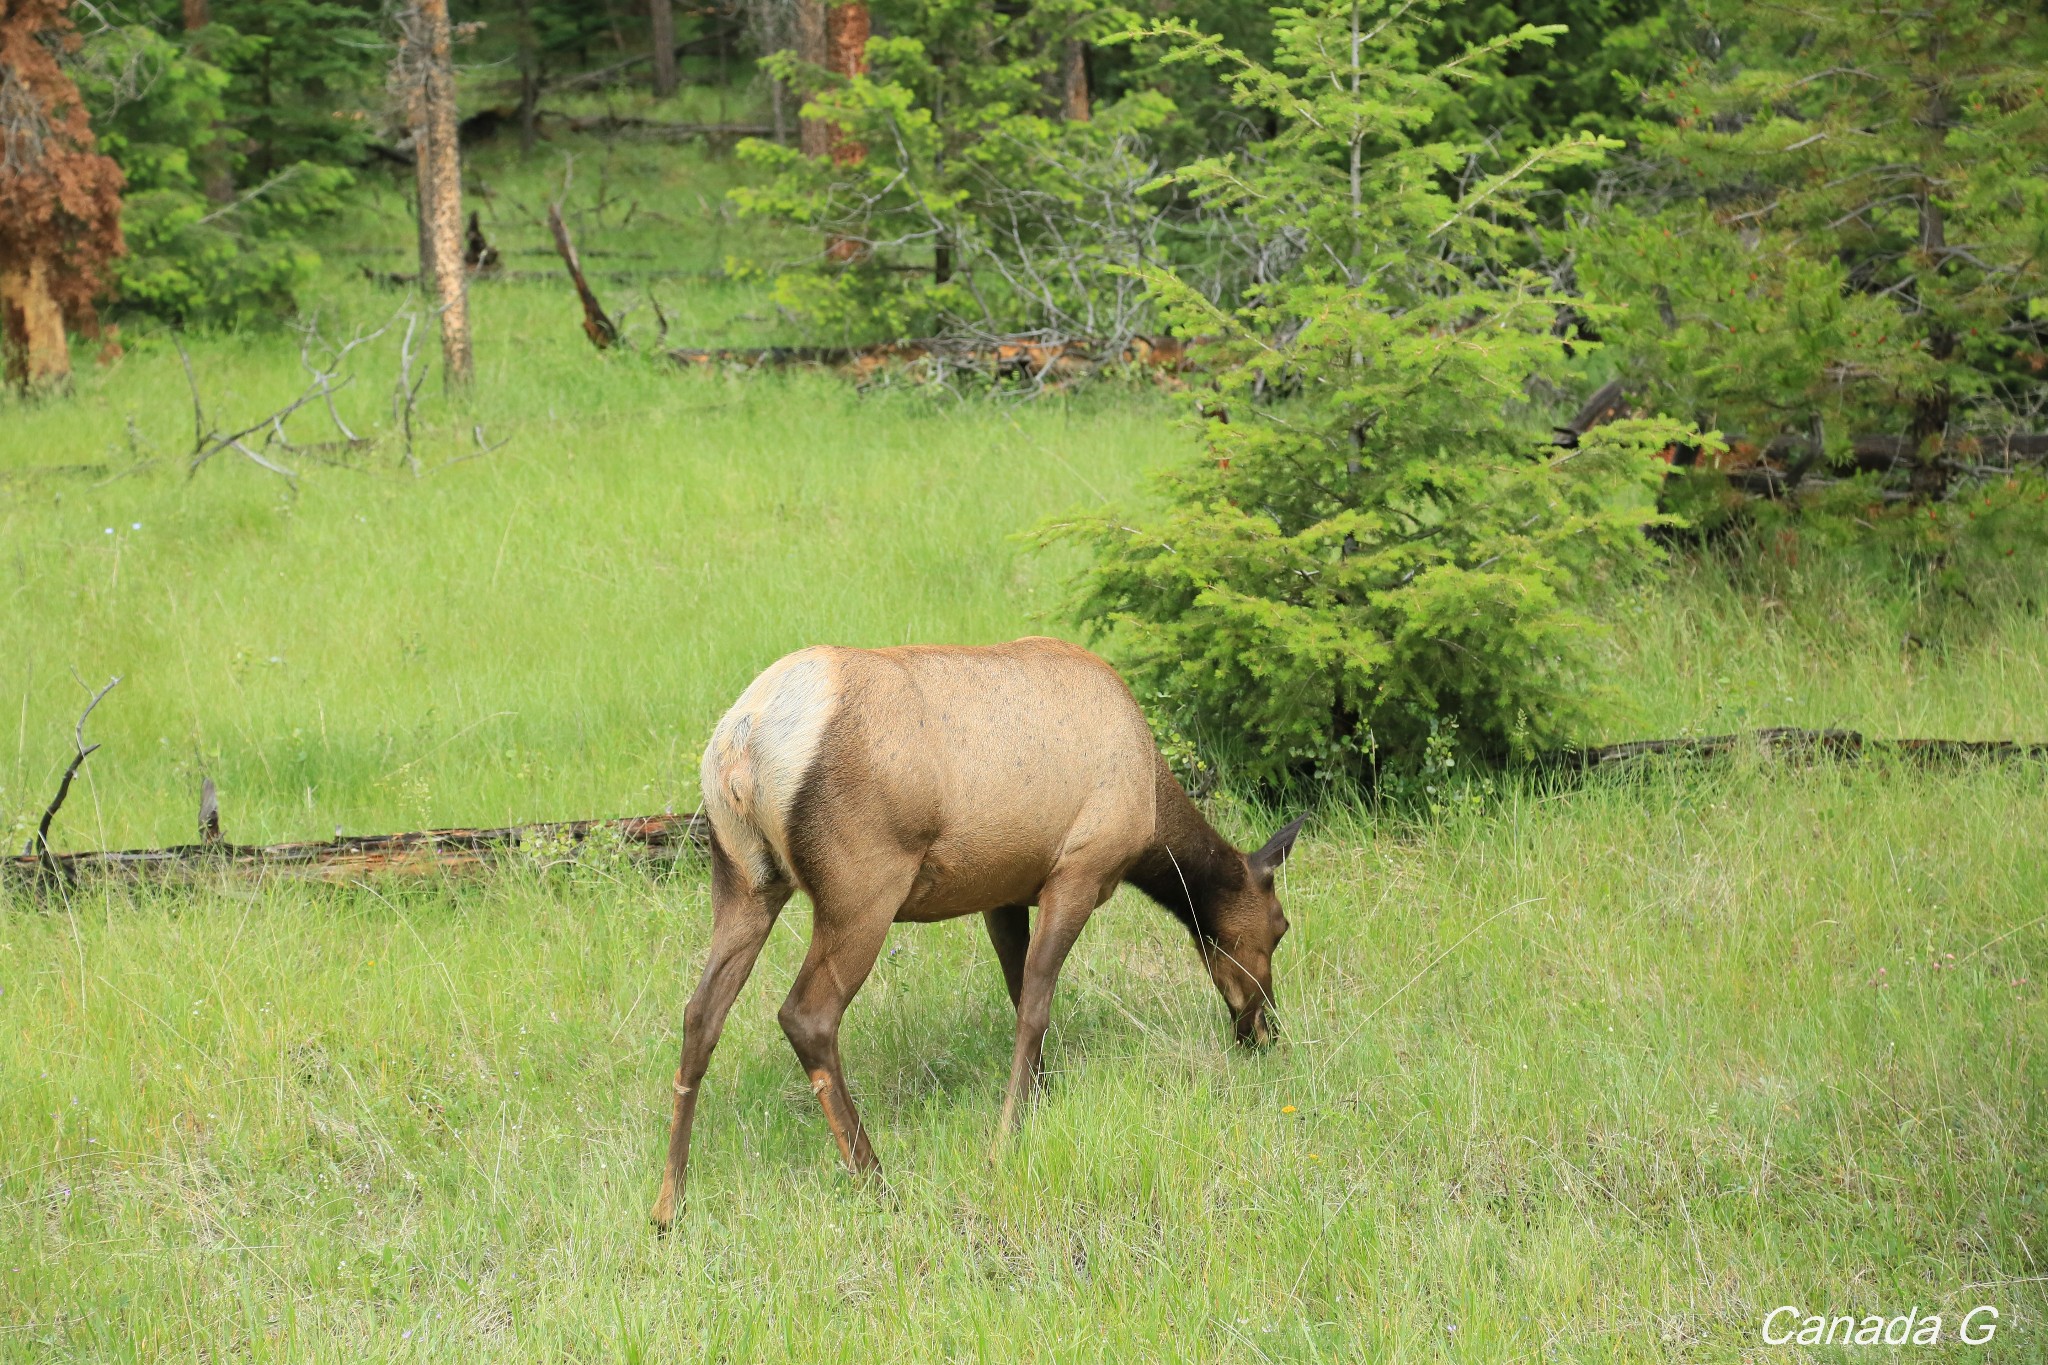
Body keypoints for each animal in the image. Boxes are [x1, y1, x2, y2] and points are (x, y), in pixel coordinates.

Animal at [647, 638, 1302, 1227]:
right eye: (1279, 928)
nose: (1264, 1031)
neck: (1151, 820)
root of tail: (742, 746)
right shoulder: (1079, 869)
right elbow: (1036, 1003)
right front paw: (1006, 1137)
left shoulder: (1005, 891)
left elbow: (1018, 991)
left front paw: (1039, 1099)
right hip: (862, 888)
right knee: (806, 1015)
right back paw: (876, 1179)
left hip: (743, 879)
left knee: (700, 1013)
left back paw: (668, 1205)